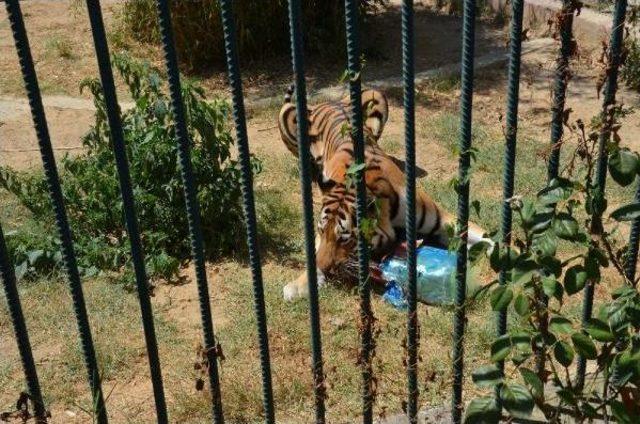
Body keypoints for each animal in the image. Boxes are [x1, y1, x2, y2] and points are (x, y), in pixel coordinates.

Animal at [278, 86, 492, 300]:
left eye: (344, 239)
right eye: (322, 232)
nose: (325, 268)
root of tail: (331, 101)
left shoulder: (443, 221)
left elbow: (487, 238)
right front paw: (298, 285)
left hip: (376, 96)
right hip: (285, 114)